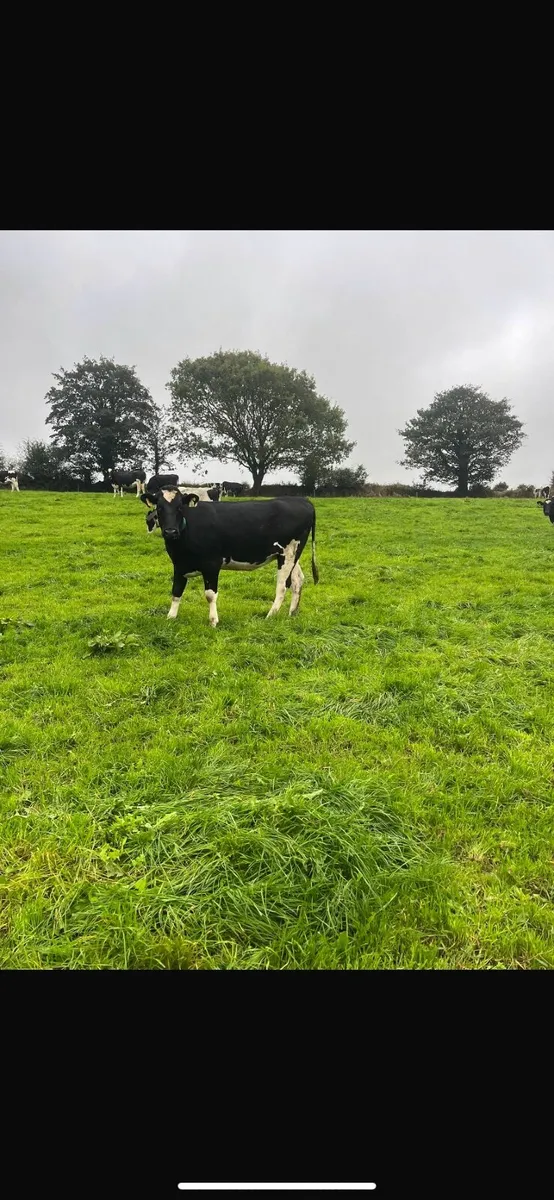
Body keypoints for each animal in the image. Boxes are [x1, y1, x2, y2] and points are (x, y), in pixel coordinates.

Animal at [141, 485, 318, 625]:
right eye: (159, 508)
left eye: (180, 507)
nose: (170, 532)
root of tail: (303, 501)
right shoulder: (179, 564)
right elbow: (176, 592)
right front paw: (170, 618)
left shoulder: (212, 564)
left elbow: (210, 595)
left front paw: (213, 621)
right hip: (292, 554)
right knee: (298, 580)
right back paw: (292, 613)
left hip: (288, 553)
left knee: (282, 586)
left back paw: (270, 616)